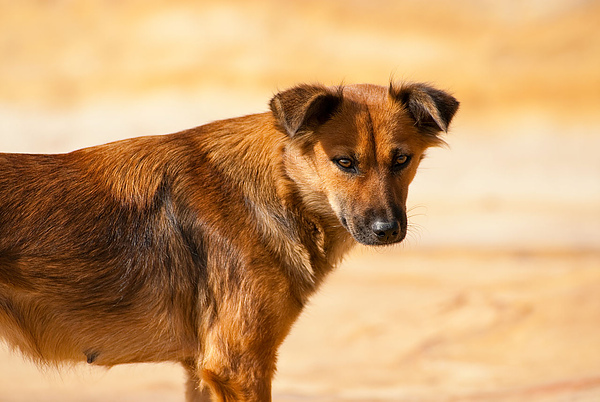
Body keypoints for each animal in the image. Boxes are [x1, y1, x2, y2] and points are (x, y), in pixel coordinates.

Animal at [1, 82, 460, 402]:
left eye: (401, 159)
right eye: (344, 162)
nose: (387, 230)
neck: (282, 189)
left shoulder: (203, 367)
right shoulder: (238, 365)